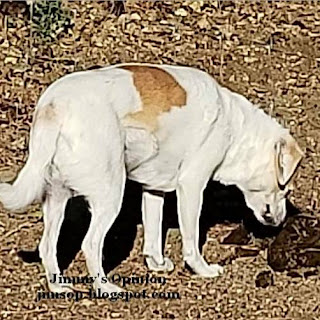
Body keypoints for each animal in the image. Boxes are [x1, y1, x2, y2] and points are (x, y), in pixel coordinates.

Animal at [0, 62, 302, 292]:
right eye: (285, 189)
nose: (282, 221)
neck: (236, 130)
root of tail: (55, 106)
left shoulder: (154, 191)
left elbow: (154, 233)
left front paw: (156, 263)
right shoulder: (191, 187)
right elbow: (192, 240)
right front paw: (201, 269)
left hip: (57, 199)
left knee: (47, 245)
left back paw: (58, 285)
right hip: (111, 196)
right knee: (91, 244)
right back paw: (104, 287)